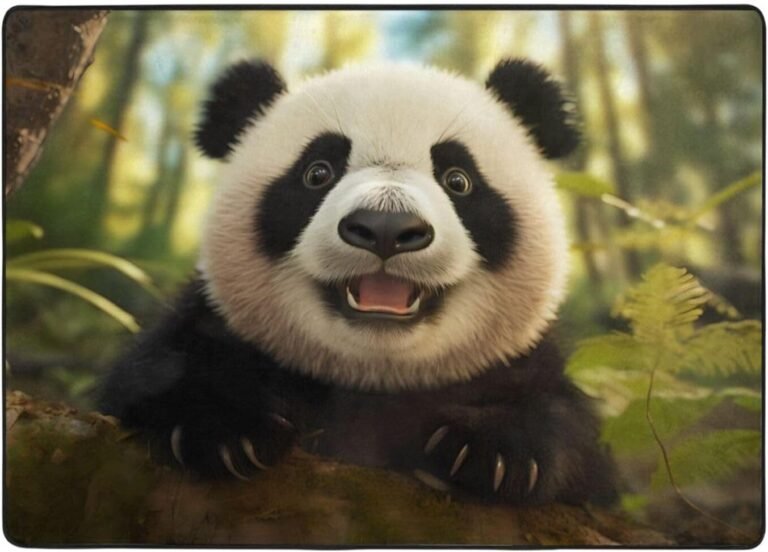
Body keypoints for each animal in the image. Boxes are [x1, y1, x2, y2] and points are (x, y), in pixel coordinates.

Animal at [99, 58, 616, 505]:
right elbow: (159, 370)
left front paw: (492, 450)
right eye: (317, 172)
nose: (386, 228)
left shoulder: (521, 362)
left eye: (458, 179)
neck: (373, 377)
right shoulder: (212, 325)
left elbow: (566, 426)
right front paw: (224, 428)